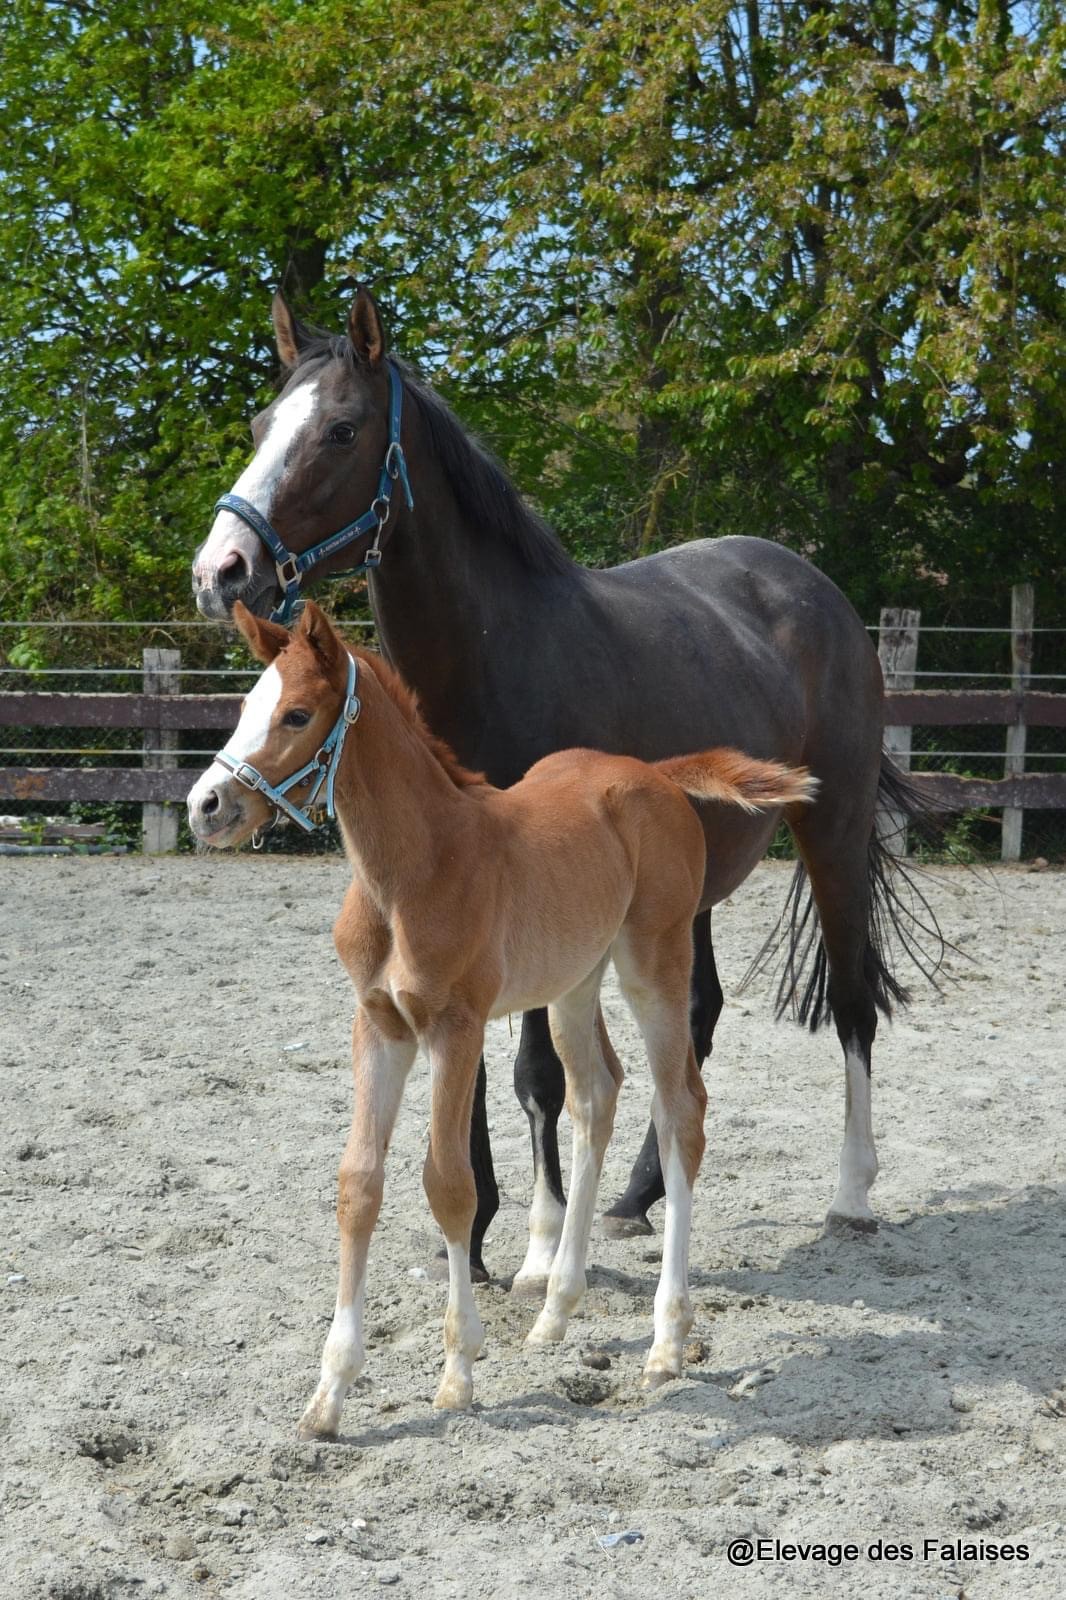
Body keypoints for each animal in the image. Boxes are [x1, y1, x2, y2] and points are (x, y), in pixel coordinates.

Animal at [186, 601, 813, 1440]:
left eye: (296, 714)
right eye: (244, 706)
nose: (206, 808)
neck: (412, 869)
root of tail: (657, 774)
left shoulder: (458, 1025)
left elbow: (449, 1185)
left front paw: (457, 1374)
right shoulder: (378, 1024)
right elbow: (359, 1184)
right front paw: (329, 1395)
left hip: (654, 962)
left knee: (681, 1107)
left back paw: (666, 1342)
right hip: (573, 980)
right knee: (596, 1094)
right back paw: (555, 1310)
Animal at [192, 291, 941, 1286]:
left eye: (342, 430)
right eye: (260, 424)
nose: (222, 570)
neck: (495, 651)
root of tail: (816, 590)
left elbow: (538, 1073)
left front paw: (543, 1241)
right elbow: (474, 1066)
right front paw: (472, 1234)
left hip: (835, 834)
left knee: (852, 1000)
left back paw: (851, 1193)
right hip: (686, 887)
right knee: (693, 1020)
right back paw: (638, 1194)